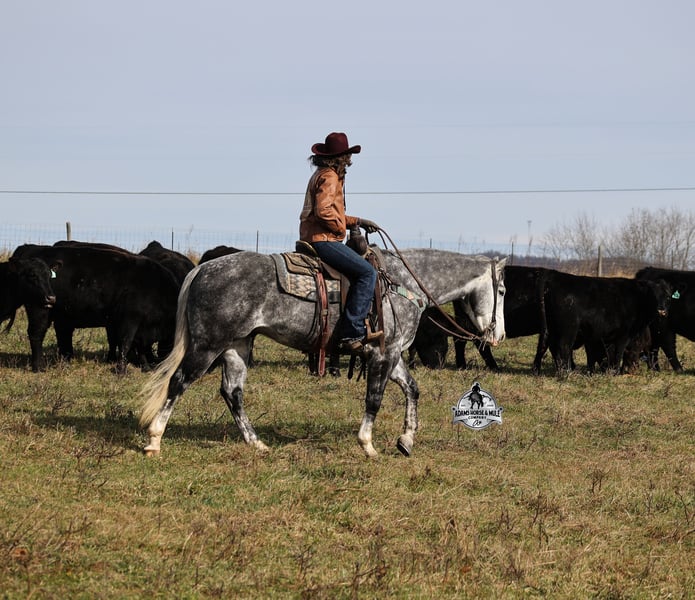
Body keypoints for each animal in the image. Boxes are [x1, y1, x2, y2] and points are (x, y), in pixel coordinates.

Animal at [11, 244, 179, 373]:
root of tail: (31, 248)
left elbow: (139, 346)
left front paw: (145, 366)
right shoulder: (130, 319)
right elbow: (125, 343)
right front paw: (122, 369)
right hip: (39, 308)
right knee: (36, 334)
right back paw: (38, 366)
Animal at [139, 248, 506, 458]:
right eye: (502, 290)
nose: (499, 335)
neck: (402, 283)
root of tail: (202, 269)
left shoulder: (394, 355)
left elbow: (412, 390)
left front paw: (406, 440)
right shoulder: (383, 355)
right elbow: (374, 398)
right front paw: (368, 445)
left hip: (237, 346)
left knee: (232, 393)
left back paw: (256, 443)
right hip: (208, 345)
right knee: (179, 381)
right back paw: (154, 440)